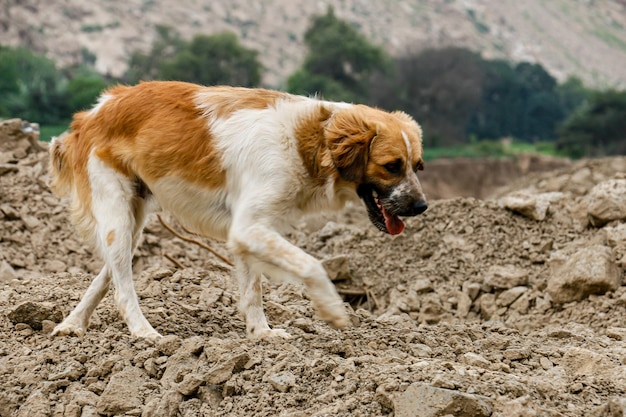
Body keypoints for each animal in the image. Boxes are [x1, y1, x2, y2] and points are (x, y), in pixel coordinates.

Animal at [48, 81, 426, 342]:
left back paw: (72, 324)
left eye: (418, 166)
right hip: (118, 215)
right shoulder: (249, 227)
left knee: (107, 273)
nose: (421, 206)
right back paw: (144, 333)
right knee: (122, 285)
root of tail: (93, 112)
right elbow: (312, 265)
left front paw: (261, 334)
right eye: (392, 166)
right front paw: (331, 310)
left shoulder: (248, 230)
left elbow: (252, 289)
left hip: (134, 218)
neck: (309, 141)